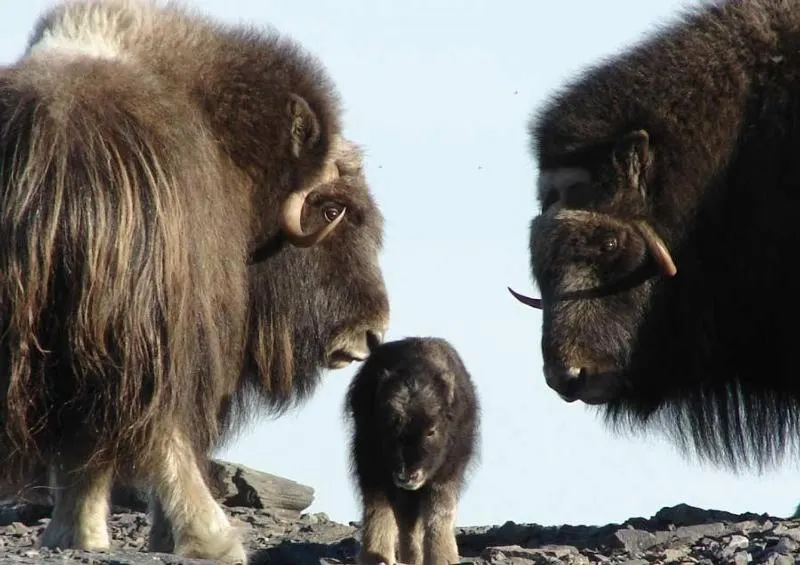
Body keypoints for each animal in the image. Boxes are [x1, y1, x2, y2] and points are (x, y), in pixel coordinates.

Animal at [0, 0, 389, 562]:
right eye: (334, 208)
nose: (372, 333)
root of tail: (48, 156)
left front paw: (77, 534)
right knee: (160, 425)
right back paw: (214, 538)